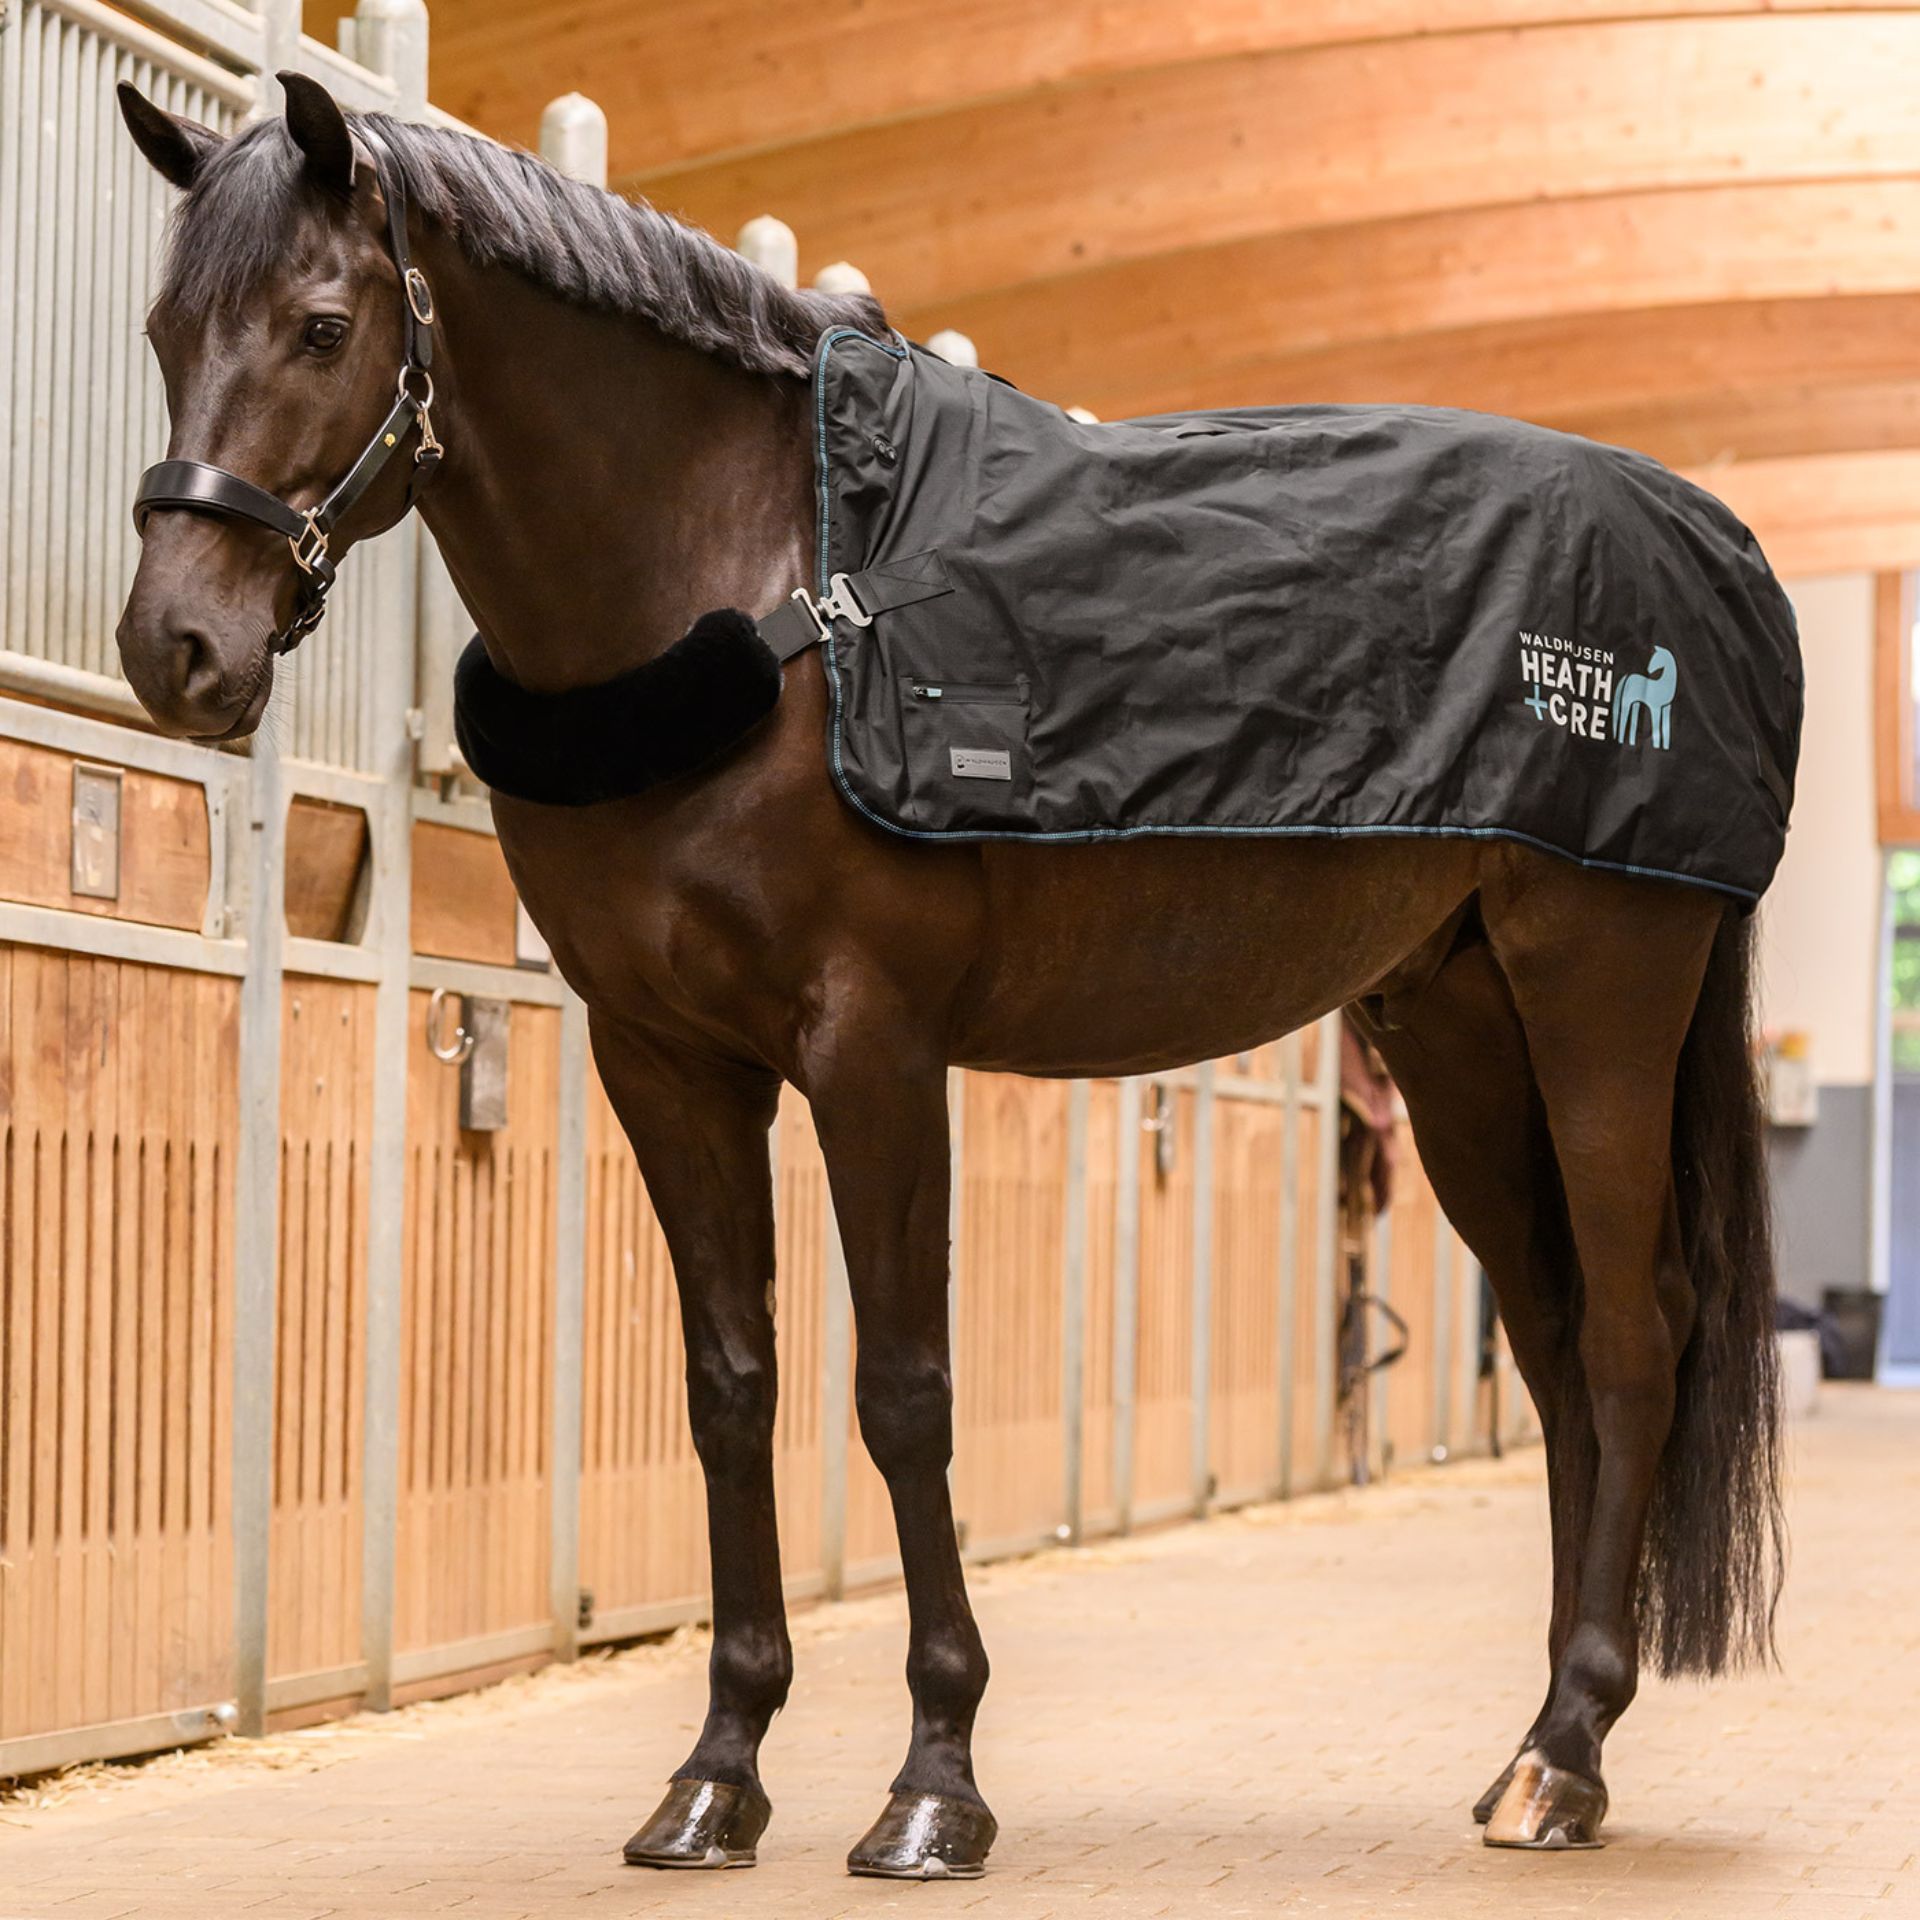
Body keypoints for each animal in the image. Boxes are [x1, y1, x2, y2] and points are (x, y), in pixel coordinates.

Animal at [112, 75, 1787, 1880]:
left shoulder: (873, 1045)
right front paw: (715, 1777)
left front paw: (933, 1784)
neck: (765, 586)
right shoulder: (666, 1059)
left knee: (1633, 1336)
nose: (174, 651)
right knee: (1551, 1347)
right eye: (163, 329)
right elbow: (731, 1391)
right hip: (1461, 1031)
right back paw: (1540, 1744)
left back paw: (1565, 1755)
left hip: (1597, 993)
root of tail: (1706, 544)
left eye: (321, 324)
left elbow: (903, 1392)